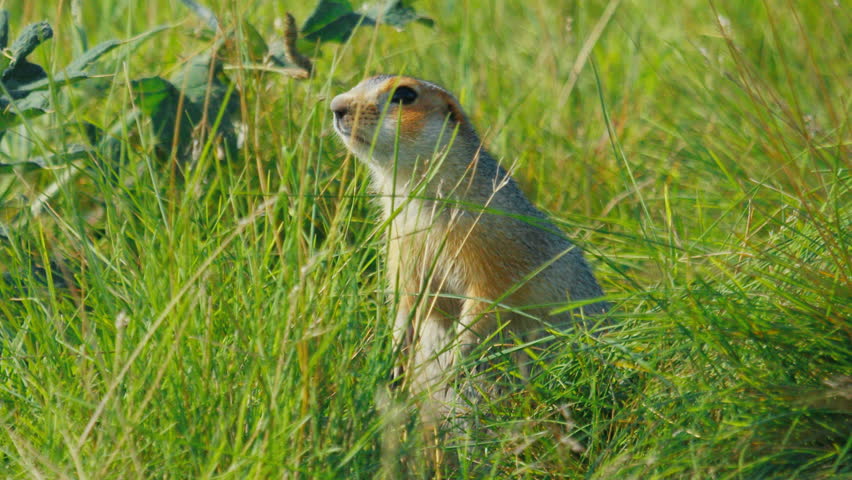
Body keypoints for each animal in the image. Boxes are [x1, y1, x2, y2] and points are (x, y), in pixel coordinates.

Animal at [330, 74, 609, 421]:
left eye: (404, 95)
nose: (336, 106)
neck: (418, 196)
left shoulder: (493, 249)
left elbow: (487, 303)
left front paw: (456, 358)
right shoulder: (402, 247)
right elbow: (406, 300)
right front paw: (394, 359)